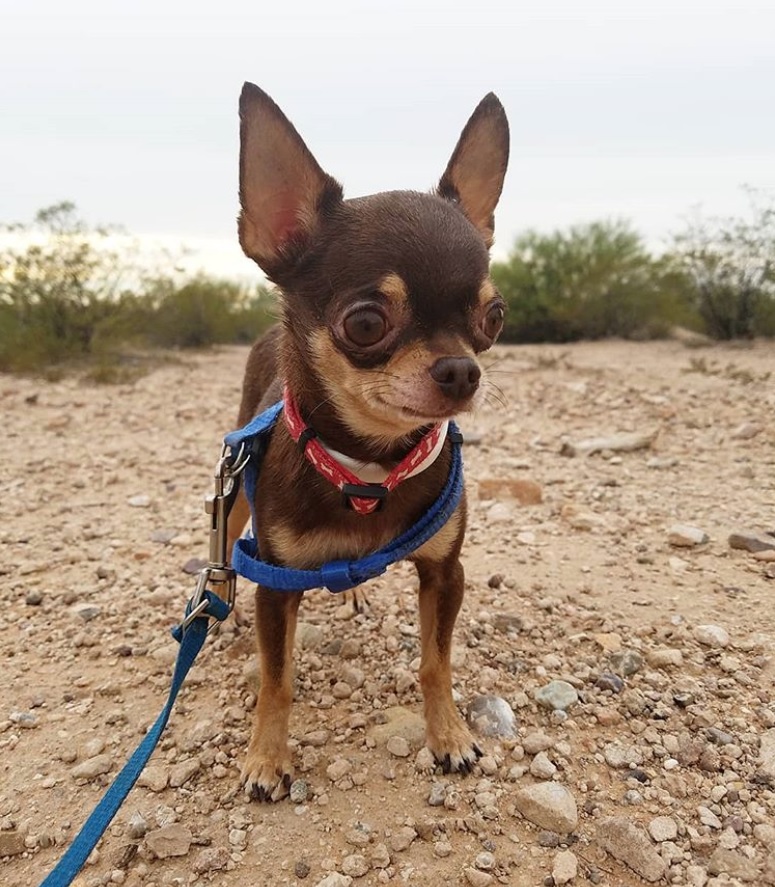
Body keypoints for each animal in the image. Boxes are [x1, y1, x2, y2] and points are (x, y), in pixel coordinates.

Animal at [227, 85, 512, 804]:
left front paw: (448, 735)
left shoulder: (444, 571)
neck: (368, 470)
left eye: (493, 317)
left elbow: (435, 663)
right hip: (236, 496)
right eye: (364, 323)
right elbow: (276, 681)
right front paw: (266, 758)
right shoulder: (275, 585)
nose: (462, 369)